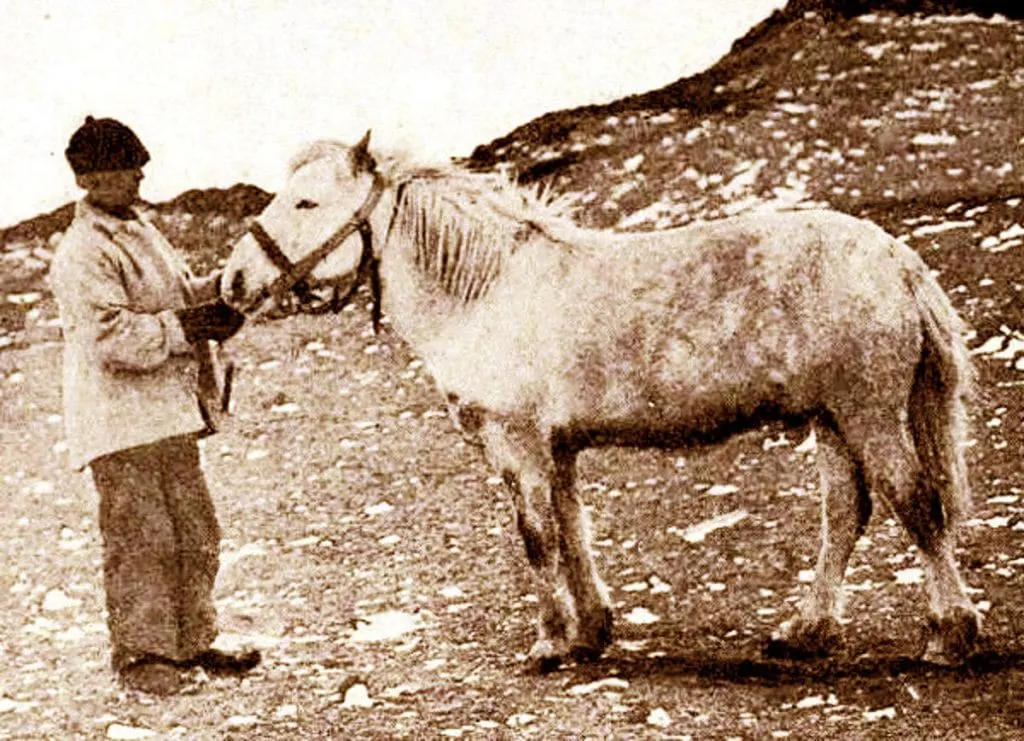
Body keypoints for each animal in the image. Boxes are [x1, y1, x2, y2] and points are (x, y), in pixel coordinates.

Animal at [226, 133, 983, 671]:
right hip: (830, 419)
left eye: (306, 204)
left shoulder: (519, 445)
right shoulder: (557, 450)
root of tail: (896, 258)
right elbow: (573, 532)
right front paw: (591, 631)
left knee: (916, 504)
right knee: (846, 515)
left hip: (866, 413)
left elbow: (537, 538)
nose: (233, 281)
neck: (488, 288)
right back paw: (807, 630)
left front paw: (550, 642)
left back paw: (948, 634)